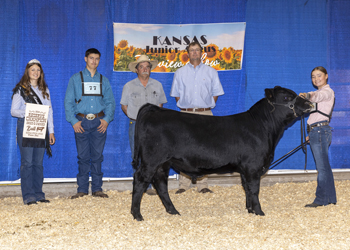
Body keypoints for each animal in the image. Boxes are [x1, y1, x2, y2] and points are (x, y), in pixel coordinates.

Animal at [131, 86, 312, 221]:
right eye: (287, 97)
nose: (309, 103)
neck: (264, 127)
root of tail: (154, 109)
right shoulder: (253, 166)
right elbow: (254, 189)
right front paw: (259, 212)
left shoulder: (245, 169)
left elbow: (247, 188)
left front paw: (250, 210)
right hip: (152, 160)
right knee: (140, 180)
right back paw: (137, 214)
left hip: (163, 163)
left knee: (160, 183)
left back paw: (173, 211)